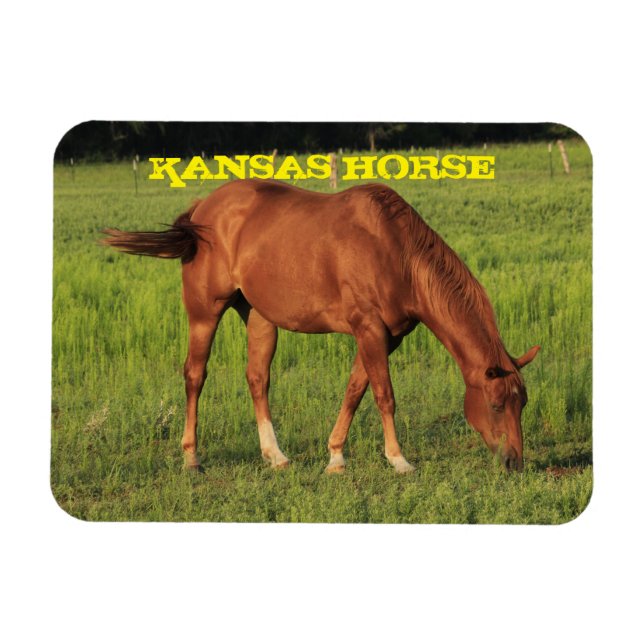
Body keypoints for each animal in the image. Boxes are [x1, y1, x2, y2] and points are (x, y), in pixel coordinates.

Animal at [102, 179, 539, 473]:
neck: (396, 251)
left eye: (522, 403)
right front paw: (398, 460)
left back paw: (275, 456)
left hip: (259, 316)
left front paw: (335, 456)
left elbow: (354, 391)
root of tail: (201, 211)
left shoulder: (385, 337)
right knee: (195, 375)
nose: (515, 462)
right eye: (496, 404)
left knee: (257, 379)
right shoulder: (368, 329)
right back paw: (192, 457)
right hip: (204, 312)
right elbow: (384, 395)